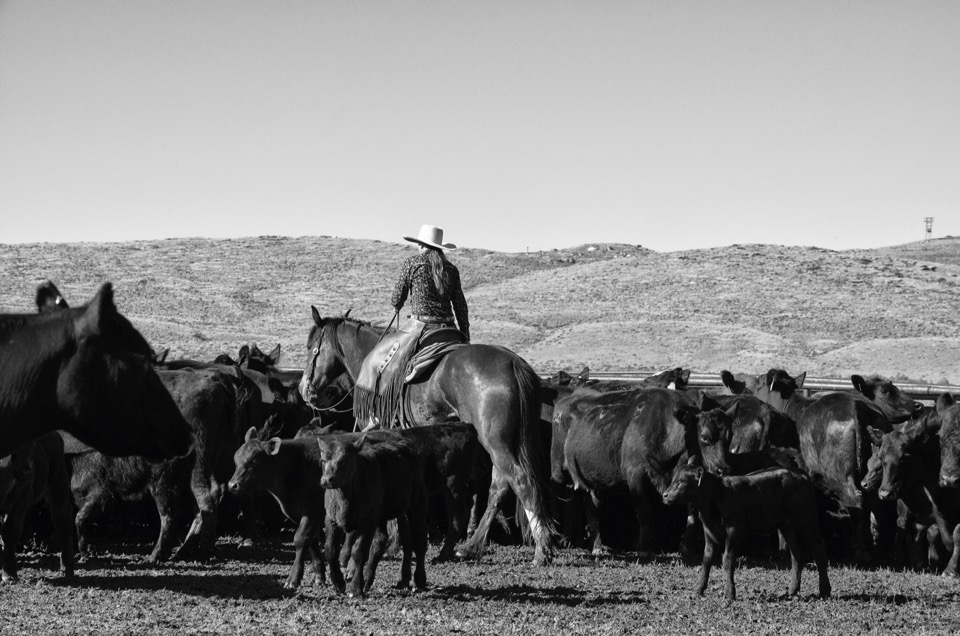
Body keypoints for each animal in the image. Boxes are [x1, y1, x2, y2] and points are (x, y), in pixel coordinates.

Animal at [296, 308, 560, 568]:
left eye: (311, 347)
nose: (304, 389)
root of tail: (514, 363)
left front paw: (393, 545)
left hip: (496, 441)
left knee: (520, 480)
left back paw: (541, 550)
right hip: (503, 442)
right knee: (499, 485)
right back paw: (471, 547)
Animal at [664, 458, 828, 600]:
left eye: (682, 481)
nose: (665, 495)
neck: (717, 497)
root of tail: (800, 473)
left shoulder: (735, 530)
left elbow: (728, 560)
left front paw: (730, 593)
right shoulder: (709, 531)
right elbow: (707, 559)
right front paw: (699, 589)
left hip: (807, 522)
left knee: (819, 550)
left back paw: (824, 590)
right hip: (787, 526)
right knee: (797, 553)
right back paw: (792, 591)